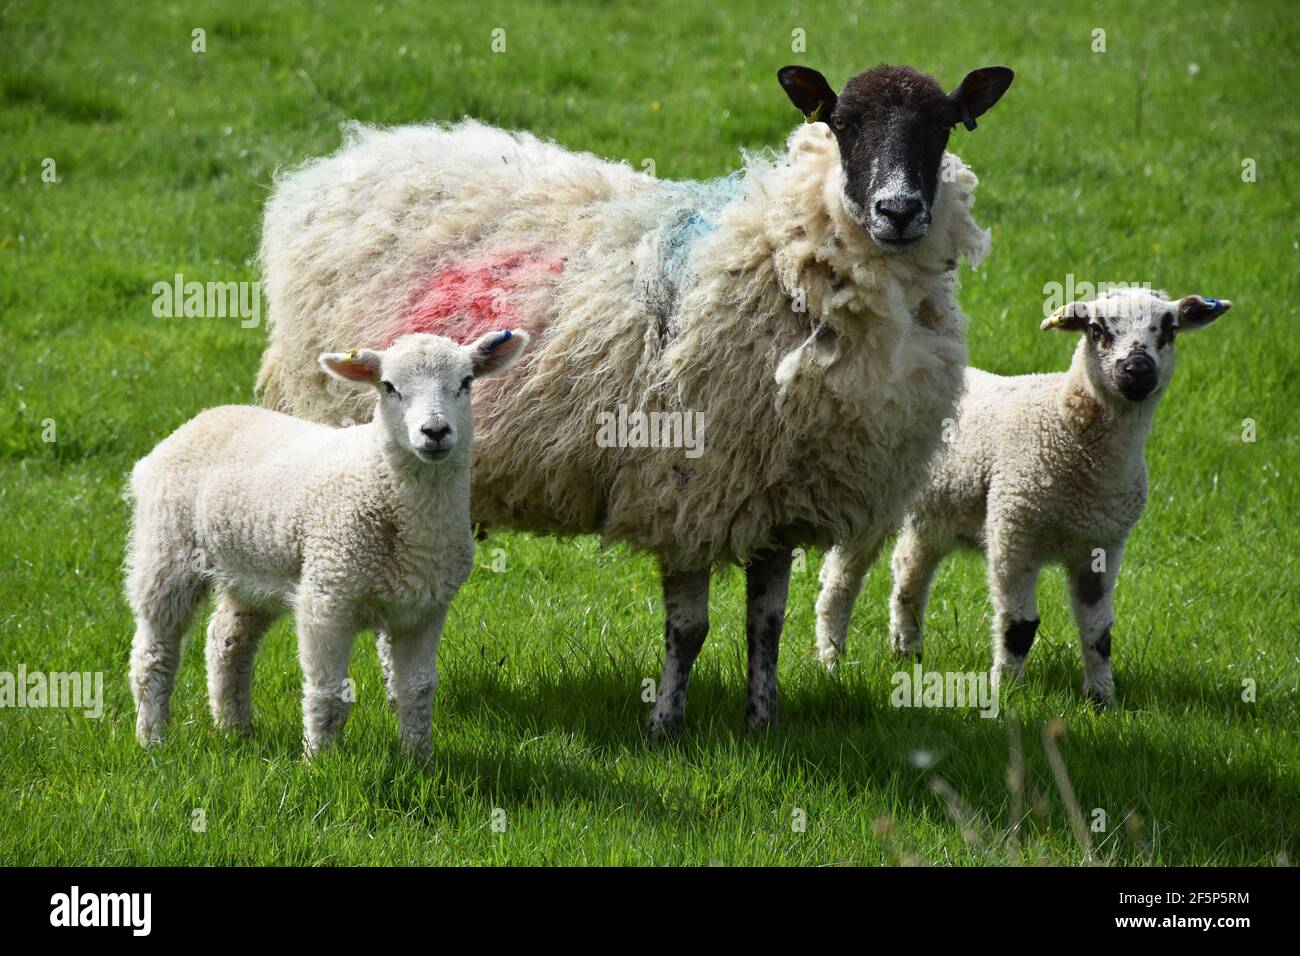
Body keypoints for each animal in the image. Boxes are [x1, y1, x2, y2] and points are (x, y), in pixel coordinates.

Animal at [125, 328, 529, 755]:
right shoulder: (327, 597)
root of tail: (201, 420)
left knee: (226, 639)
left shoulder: (425, 608)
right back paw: (152, 739)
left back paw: (234, 729)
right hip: (165, 550)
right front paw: (320, 759)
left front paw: (418, 758)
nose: (434, 432)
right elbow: (329, 691)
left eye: (466, 382)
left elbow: (418, 690)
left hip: (252, 568)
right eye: (389, 387)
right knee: (154, 651)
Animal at [254, 63, 1014, 736]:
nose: (899, 210)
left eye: (944, 124)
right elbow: (689, 627)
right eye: (843, 121)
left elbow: (765, 624)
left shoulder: (777, 495)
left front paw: (762, 723)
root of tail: (341, 163)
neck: (779, 257)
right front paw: (665, 726)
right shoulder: (686, 487)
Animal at [815, 288, 1232, 703]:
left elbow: (1099, 632)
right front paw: (1004, 696)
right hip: (865, 500)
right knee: (838, 582)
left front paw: (1101, 700)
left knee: (907, 573)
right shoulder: (1013, 530)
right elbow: (1019, 626)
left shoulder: (1103, 546)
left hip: (935, 514)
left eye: (1170, 330)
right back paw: (831, 660)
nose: (1138, 370)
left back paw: (906, 653)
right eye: (1097, 329)